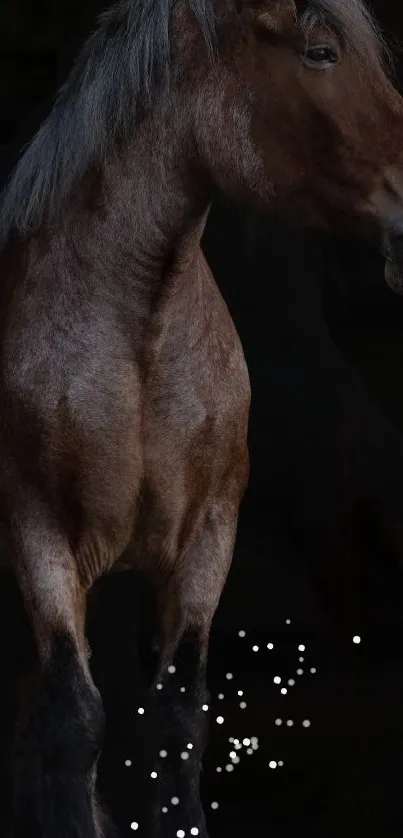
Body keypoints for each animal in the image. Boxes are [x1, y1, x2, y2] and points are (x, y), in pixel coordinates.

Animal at [1, 0, 403, 836]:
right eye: (319, 53)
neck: (139, 330)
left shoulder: (206, 541)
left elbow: (177, 716)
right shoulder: (40, 538)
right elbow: (74, 720)